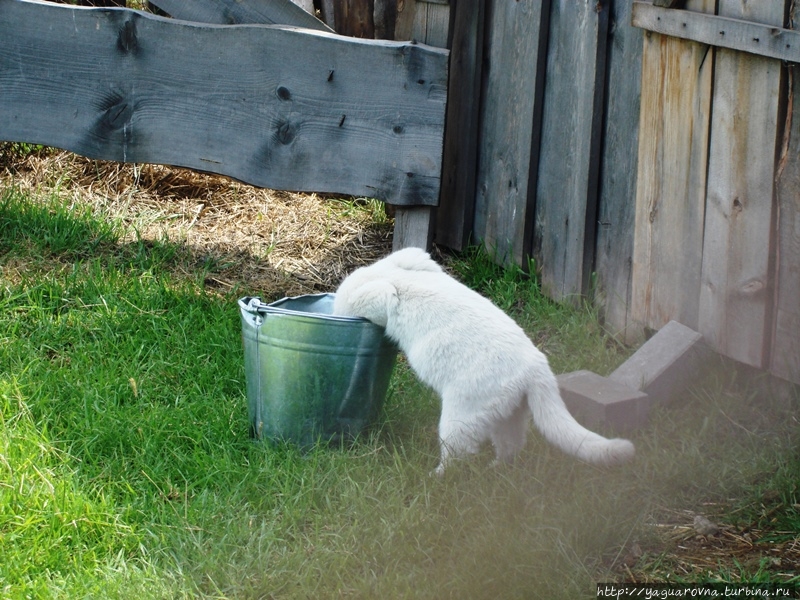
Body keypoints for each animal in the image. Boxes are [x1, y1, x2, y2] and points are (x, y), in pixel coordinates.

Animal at [328, 247, 636, 474]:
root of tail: (537, 368)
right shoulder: (415, 257)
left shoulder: (382, 293)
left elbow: (382, 296)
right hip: (507, 413)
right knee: (511, 446)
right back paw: (496, 468)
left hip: (462, 413)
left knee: (459, 453)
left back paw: (437, 476)